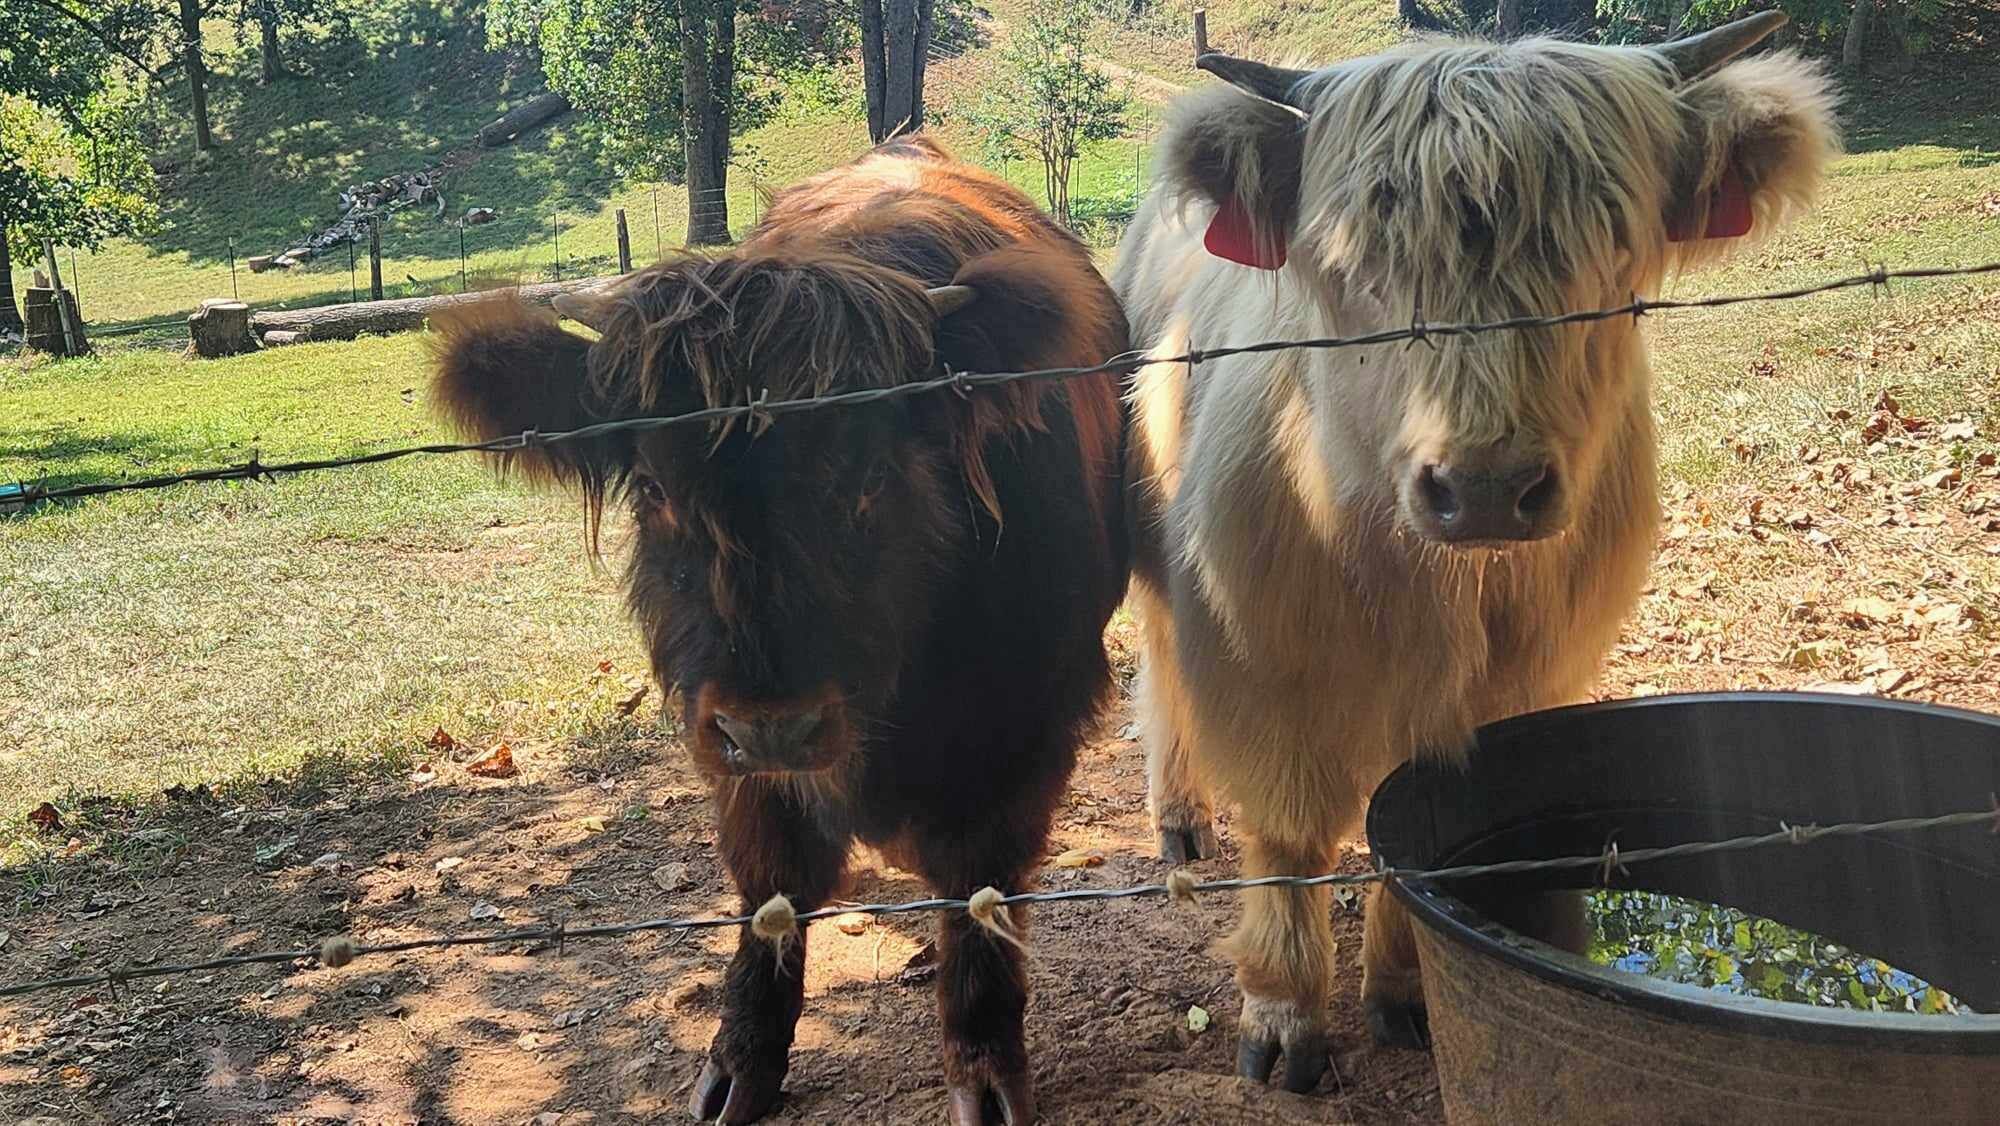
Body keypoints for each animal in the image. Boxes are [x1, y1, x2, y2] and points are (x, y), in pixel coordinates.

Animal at [429, 135, 1129, 1125]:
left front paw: (986, 1072)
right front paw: (739, 1065)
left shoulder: (1025, 733)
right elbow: (771, 897)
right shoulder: (732, 760)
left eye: (871, 479)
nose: (774, 727)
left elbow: (980, 901)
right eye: (655, 489)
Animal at [1114, 12, 1837, 1091]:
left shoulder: (1513, 687)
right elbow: (1287, 829)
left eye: (1612, 244)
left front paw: (1407, 991)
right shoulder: (1258, 654)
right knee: (1159, 661)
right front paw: (1282, 1018)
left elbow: (1416, 831)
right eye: (1353, 255)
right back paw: (1179, 817)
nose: (1488, 484)